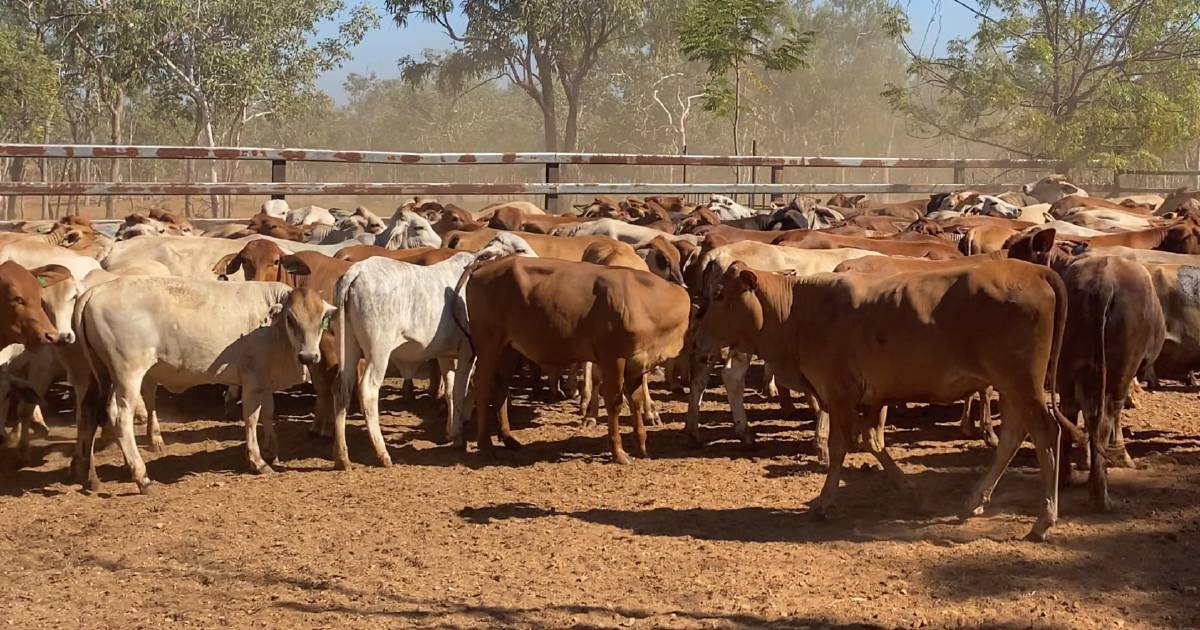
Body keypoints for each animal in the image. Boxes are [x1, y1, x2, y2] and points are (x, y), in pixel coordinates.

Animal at [70, 276, 336, 492]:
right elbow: (251, 418)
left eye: (323, 318)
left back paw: (91, 477)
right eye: (291, 318)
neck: (272, 327)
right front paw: (257, 461)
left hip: (100, 374)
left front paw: (272, 453)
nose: (309, 357)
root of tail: (94, 291)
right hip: (128, 374)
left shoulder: (265, 380)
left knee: (90, 413)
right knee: (120, 417)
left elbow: (268, 413)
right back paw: (141, 477)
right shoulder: (252, 380)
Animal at [328, 230, 535, 465]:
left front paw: (452, 433)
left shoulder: (446, 355)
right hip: (378, 351)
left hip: (348, 347)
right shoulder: (469, 351)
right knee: (368, 390)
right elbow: (461, 390)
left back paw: (342, 456)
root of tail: (356, 272)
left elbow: (451, 390)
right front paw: (459, 434)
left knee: (341, 389)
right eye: (520, 249)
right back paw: (382, 453)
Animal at [453, 256, 691, 460]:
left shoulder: (637, 362)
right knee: (483, 387)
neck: (646, 301)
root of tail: (486, 265)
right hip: (489, 344)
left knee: (501, 387)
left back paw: (508, 438)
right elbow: (615, 402)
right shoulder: (612, 357)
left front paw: (642, 447)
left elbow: (636, 401)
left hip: (509, 348)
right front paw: (619, 452)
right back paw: (485, 445)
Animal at [691, 258, 1084, 537]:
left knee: (1046, 433)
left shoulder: (839, 393)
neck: (798, 311)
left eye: (720, 295)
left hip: (1022, 384)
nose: (697, 340)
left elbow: (840, 447)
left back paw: (1044, 519)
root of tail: (1036, 271)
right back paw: (975, 500)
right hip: (1009, 386)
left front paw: (824, 502)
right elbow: (873, 441)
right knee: (1013, 435)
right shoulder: (871, 397)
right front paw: (912, 493)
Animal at [1008, 228, 1166, 508]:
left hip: (1074, 367)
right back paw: (1097, 489)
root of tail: (1104, 284)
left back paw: (1075, 479)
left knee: (1076, 413)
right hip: (1118, 368)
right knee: (1102, 415)